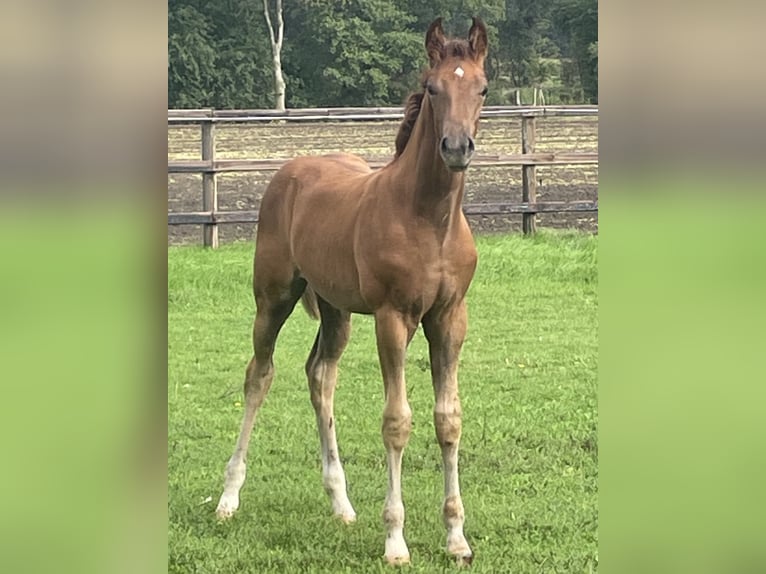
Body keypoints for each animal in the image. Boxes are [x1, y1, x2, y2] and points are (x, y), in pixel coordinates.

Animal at [215, 17, 489, 566]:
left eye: (483, 88)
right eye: (433, 87)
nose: (456, 148)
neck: (429, 219)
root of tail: (290, 170)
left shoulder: (450, 317)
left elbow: (448, 419)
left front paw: (456, 537)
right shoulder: (392, 317)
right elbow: (396, 421)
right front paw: (395, 541)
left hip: (336, 310)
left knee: (320, 377)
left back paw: (341, 503)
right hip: (273, 297)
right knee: (259, 376)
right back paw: (228, 498)